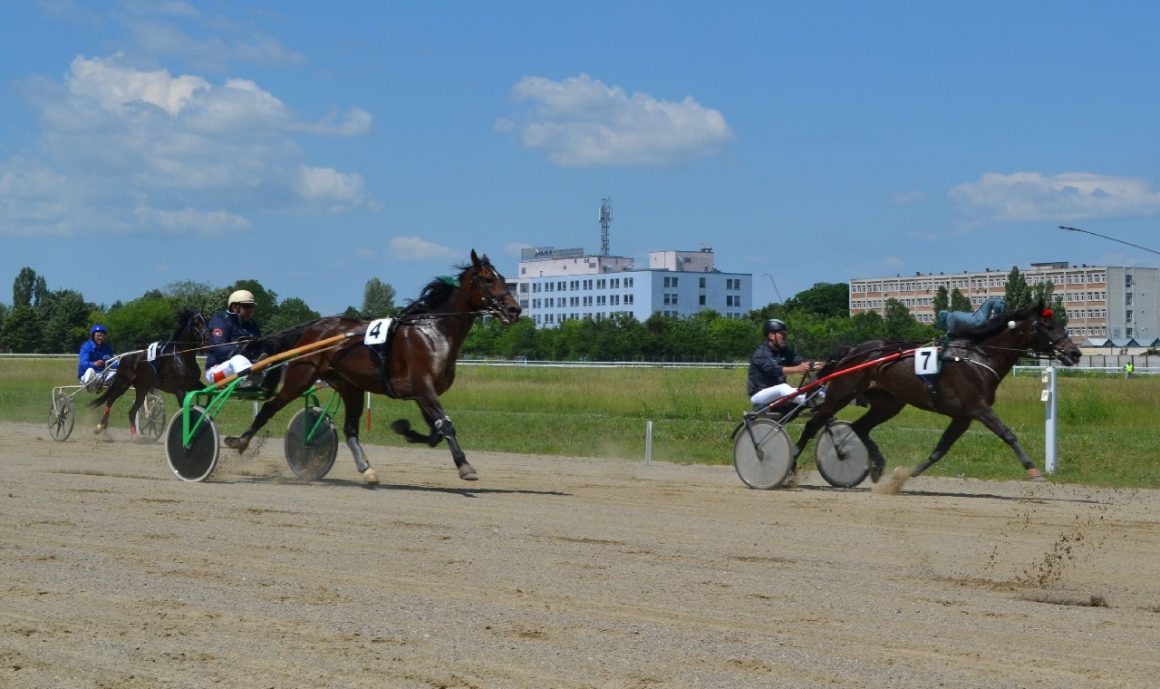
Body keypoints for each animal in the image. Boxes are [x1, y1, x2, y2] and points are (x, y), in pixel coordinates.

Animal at [91, 308, 209, 436]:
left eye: (205, 320)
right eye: (196, 323)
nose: (207, 337)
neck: (181, 356)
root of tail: (124, 356)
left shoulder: (193, 383)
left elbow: (208, 394)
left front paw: (203, 408)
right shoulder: (179, 390)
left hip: (142, 388)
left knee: (132, 412)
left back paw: (135, 436)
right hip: (123, 383)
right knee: (110, 400)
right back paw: (100, 426)